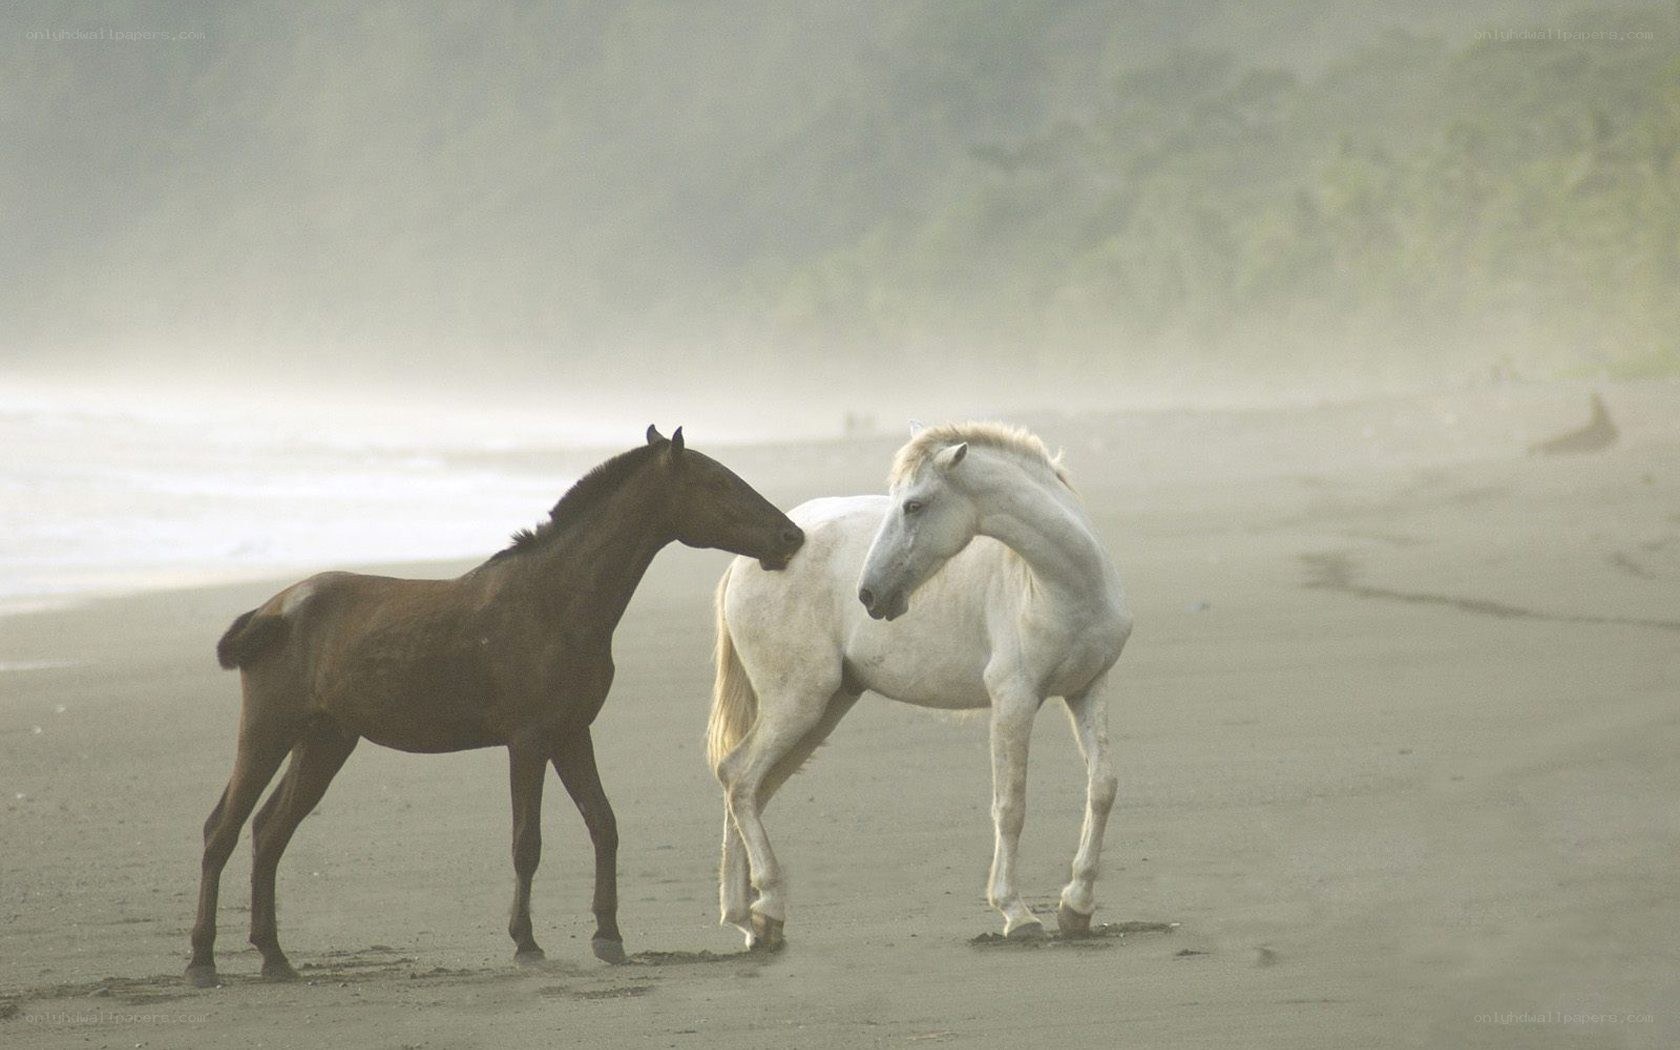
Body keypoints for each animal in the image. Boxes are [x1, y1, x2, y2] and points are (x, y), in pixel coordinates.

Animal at [187, 426, 804, 988]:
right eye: (716, 481)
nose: (791, 536)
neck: (554, 601)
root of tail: (273, 609)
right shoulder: (527, 739)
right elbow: (526, 842)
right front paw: (526, 943)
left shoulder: (572, 733)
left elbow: (603, 824)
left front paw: (608, 936)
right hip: (268, 730)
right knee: (222, 829)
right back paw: (202, 961)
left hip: (325, 740)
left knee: (269, 831)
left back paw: (274, 957)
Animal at [707, 422, 1131, 950]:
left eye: (914, 505)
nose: (869, 594)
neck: (1064, 586)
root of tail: (747, 562)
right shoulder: (1014, 699)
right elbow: (1010, 805)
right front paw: (1016, 913)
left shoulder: (1088, 689)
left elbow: (1103, 787)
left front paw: (1077, 906)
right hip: (798, 704)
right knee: (740, 779)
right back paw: (765, 908)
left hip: (822, 708)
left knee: (747, 786)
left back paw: (751, 918)